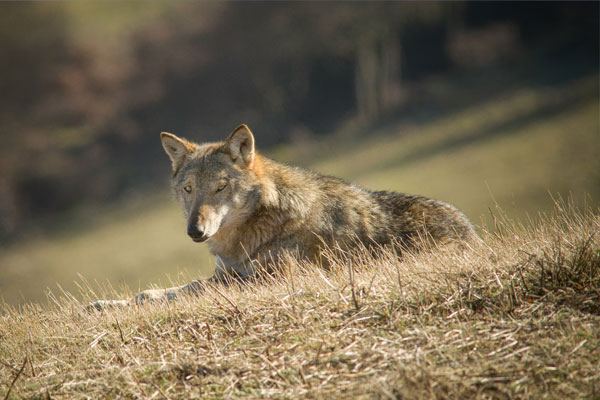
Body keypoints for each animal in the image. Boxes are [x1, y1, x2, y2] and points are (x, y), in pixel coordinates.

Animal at [90, 125, 474, 310]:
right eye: (188, 189)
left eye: (220, 187)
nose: (195, 230)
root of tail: (473, 234)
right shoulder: (226, 275)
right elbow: (155, 293)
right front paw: (106, 304)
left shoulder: (270, 280)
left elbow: (186, 292)